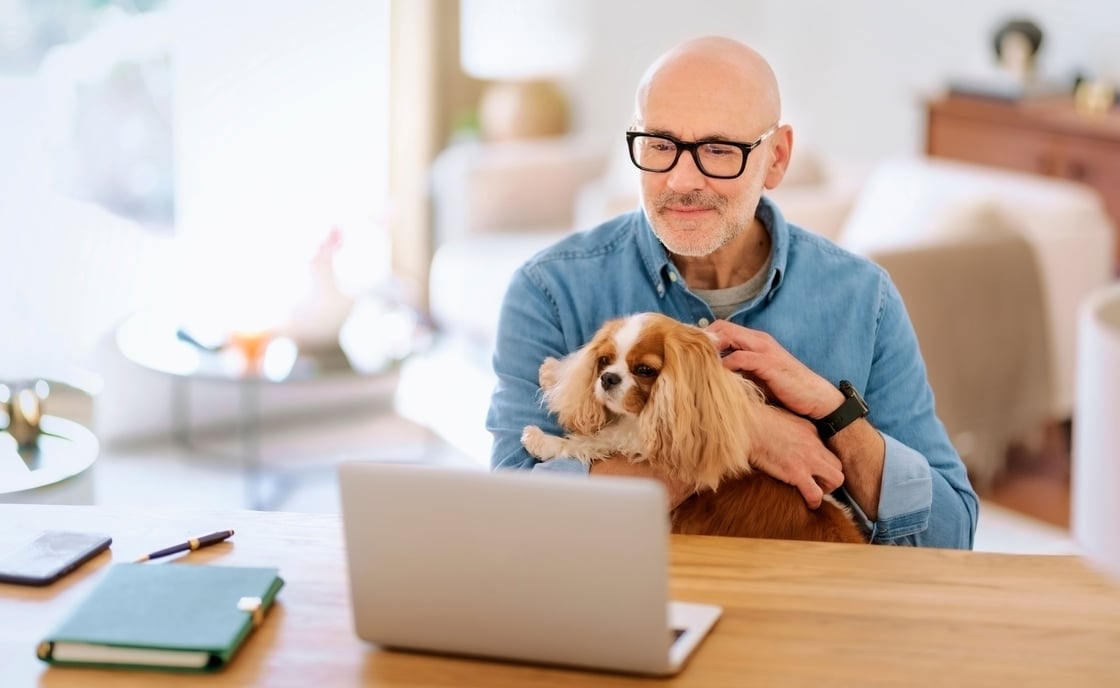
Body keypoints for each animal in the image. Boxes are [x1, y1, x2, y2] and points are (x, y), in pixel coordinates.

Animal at [521, 313, 864, 544]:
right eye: (603, 360)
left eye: (644, 370)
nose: (607, 378)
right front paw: (554, 373)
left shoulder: (651, 432)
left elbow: (600, 438)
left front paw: (543, 441)